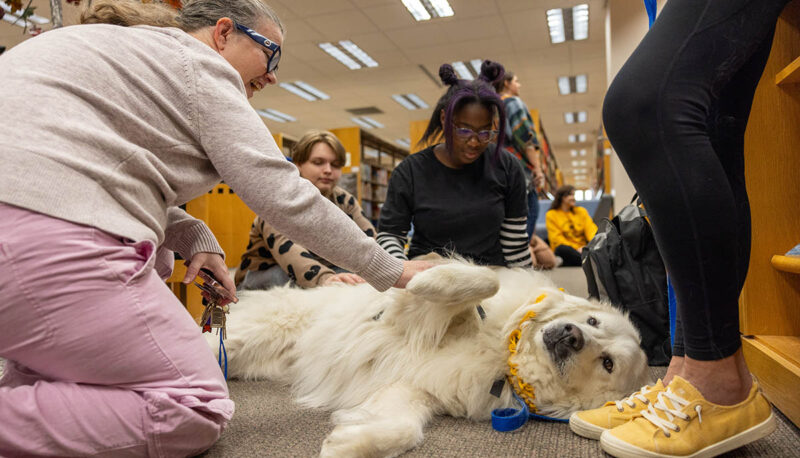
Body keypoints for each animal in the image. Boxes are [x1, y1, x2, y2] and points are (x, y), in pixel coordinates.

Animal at [209, 260, 652, 456]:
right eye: (592, 320)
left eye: (607, 362)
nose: (573, 336)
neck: (502, 353)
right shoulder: (410, 317)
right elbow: (482, 282)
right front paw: (427, 277)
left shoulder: (411, 391)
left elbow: (404, 429)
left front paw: (348, 443)